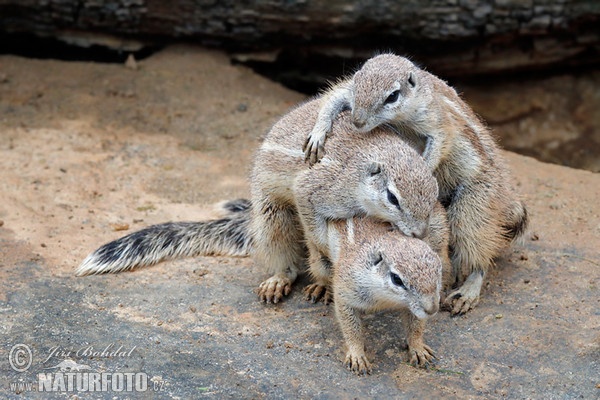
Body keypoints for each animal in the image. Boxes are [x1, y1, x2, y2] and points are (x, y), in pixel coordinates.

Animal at [302, 54, 528, 316]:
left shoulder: (434, 116)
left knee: (478, 248)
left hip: (476, 203)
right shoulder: (348, 90)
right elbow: (333, 98)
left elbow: (440, 139)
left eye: (392, 96)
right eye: (358, 85)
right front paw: (318, 132)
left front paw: (423, 171)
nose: (357, 121)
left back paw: (468, 291)